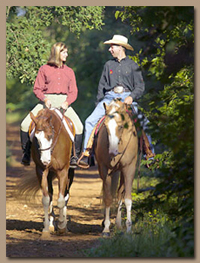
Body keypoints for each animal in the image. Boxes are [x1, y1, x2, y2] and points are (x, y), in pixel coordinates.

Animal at [28, 108, 75, 238]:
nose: (45, 160)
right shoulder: (41, 171)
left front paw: (62, 226)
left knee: (66, 195)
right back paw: (51, 224)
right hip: (49, 175)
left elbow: (61, 200)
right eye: (36, 138)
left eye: (50, 136)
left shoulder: (63, 171)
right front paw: (46, 228)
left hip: (70, 173)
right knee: (51, 195)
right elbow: (46, 200)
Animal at [93, 99, 138, 237]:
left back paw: (118, 224)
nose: (113, 151)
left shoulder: (129, 168)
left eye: (121, 126)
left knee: (120, 193)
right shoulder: (104, 168)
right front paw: (106, 228)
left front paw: (129, 228)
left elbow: (127, 198)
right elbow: (107, 197)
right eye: (106, 126)